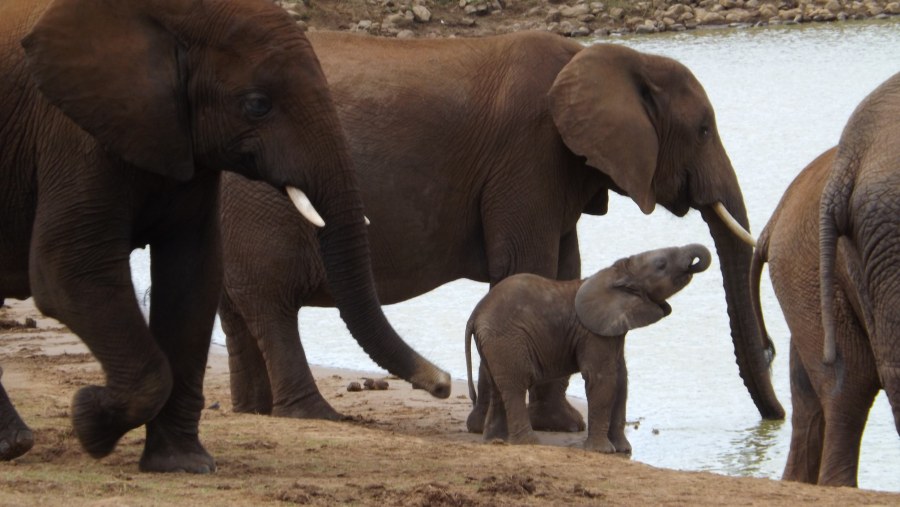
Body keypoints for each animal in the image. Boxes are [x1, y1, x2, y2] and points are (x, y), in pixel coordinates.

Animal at [0, 0, 450, 472]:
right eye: (257, 105)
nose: (443, 384)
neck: (165, 17)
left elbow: (193, 275)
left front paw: (182, 465)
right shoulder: (72, 134)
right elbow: (67, 272)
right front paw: (89, 419)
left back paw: (13, 445)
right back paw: (18, 444)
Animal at [221, 30, 784, 428]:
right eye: (704, 130)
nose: (775, 418)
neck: (606, 57)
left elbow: (564, 267)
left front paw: (560, 424)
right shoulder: (528, 153)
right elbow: (527, 264)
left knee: (235, 306)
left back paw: (253, 410)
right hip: (257, 202)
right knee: (270, 303)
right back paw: (312, 414)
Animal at [464, 245, 712, 452]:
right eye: (661, 264)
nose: (693, 262)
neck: (617, 272)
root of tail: (475, 314)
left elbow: (621, 379)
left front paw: (623, 450)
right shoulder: (592, 333)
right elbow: (602, 378)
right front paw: (602, 451)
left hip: (494, 342)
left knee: (498, 385)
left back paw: (496, 441)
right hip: (506, 339)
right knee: (517, 383)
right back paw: (530, 443)